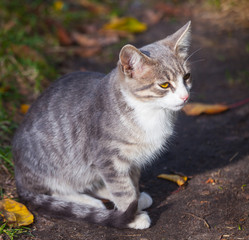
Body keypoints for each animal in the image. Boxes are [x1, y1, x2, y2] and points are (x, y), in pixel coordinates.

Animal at [12, 21, 193, 230]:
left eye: (186, 76)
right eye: (164, 85)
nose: (185, 96)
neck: (150, 111)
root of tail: (18, 175)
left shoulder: (132, 158)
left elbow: (130, 180)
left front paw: (136, 198)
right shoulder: (107, 157)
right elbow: (122, 188)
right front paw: (132, 215)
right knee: (53, 190)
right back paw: (89, 203)